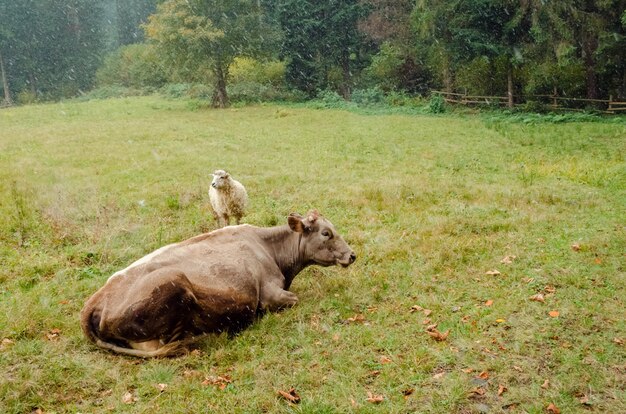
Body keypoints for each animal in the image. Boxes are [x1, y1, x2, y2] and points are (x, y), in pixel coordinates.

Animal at [81, 212, 356, 358]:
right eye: (326, 233)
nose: (352, 255)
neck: (269, 248)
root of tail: (96, 299)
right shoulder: (270, 294)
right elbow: (293, 299)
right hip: (174, 284)